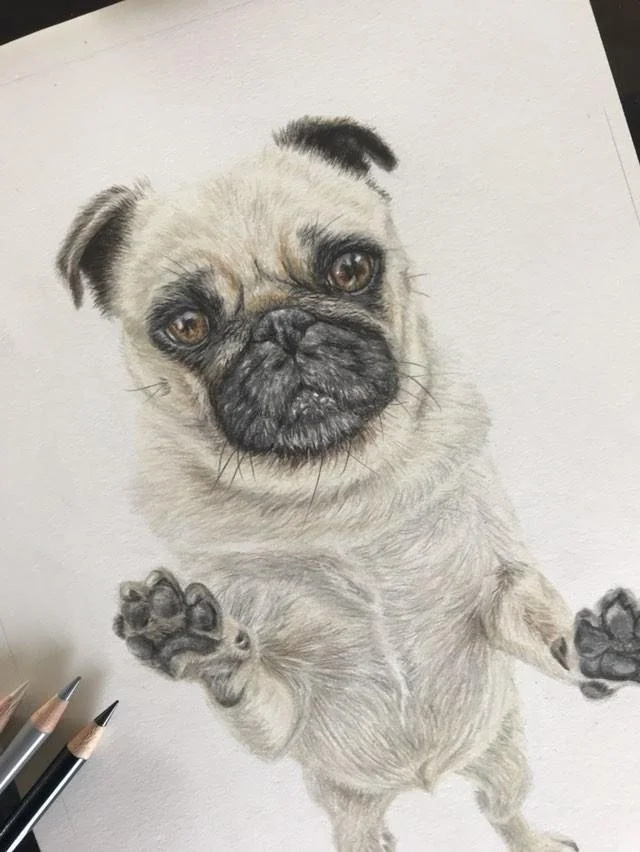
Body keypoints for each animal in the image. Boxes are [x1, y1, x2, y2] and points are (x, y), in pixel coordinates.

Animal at [56, 117, 640, 851]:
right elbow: (246, 678)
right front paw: (191, 641)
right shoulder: (281, 716)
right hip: (349, 808)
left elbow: (541, 625)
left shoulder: (503, 584)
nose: (282, 326)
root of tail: (425, 779)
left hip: (503, 754)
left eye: (350, 270)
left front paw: (604, 647)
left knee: (502, 809)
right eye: (187, 325)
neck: (337, 499)